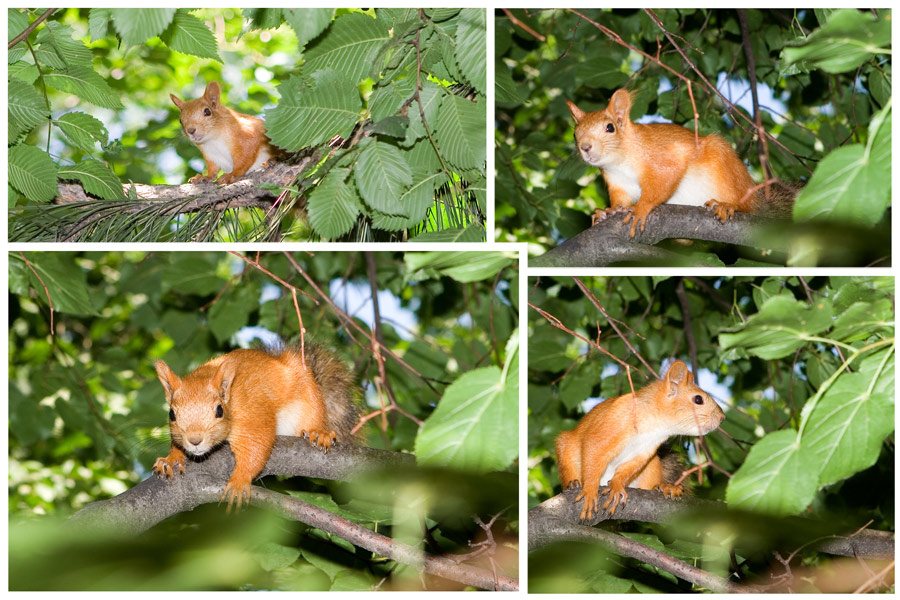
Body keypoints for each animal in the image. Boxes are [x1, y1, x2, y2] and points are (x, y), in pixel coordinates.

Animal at [152, 344, 360, 511]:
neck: (231, 396)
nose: (195, 440)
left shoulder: (253, 415)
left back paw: (319, 433)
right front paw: (171, 459)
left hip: (309, 398)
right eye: (171, 414)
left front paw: (239, 481)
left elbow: (256, 446)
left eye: (219, 410)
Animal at [555, 360, 725, 521]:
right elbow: (593, 452)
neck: (655, 426)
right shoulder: (607, 428)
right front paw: (590, 491)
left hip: (652, 465)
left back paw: (664, 487)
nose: (722, 418)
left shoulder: (644, 452)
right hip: (566, 448)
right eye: (698, 399)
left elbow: (628, 469)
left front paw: (616, 486)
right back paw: (573, 483)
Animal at [566, 88, 794, 237]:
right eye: (575, 133)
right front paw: (608, 211)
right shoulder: (617, 182)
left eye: (610, 127)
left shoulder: (662, 158)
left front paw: (640, 209)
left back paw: (729, 205)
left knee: (747, 205)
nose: (585, 147)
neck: (619, 163)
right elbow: (621, 200)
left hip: (728, 167)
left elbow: (662, 183)